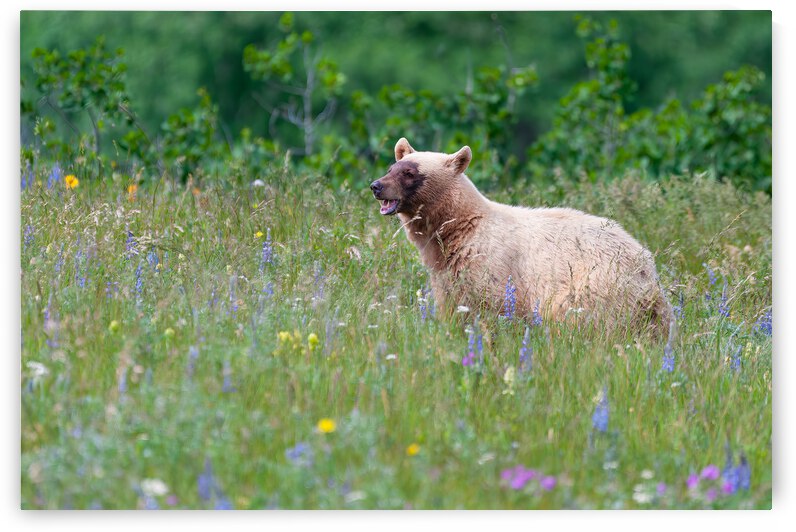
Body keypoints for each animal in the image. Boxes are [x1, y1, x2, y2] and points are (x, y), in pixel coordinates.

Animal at [370, 137, 674, 338]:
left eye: (410, 172)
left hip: (596, 286)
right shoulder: (447, 274)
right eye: (391, 167)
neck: (457, 228)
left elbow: (492, 306)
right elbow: (453, 307)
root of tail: (648, 269)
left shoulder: (491, 263)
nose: (376, 186)